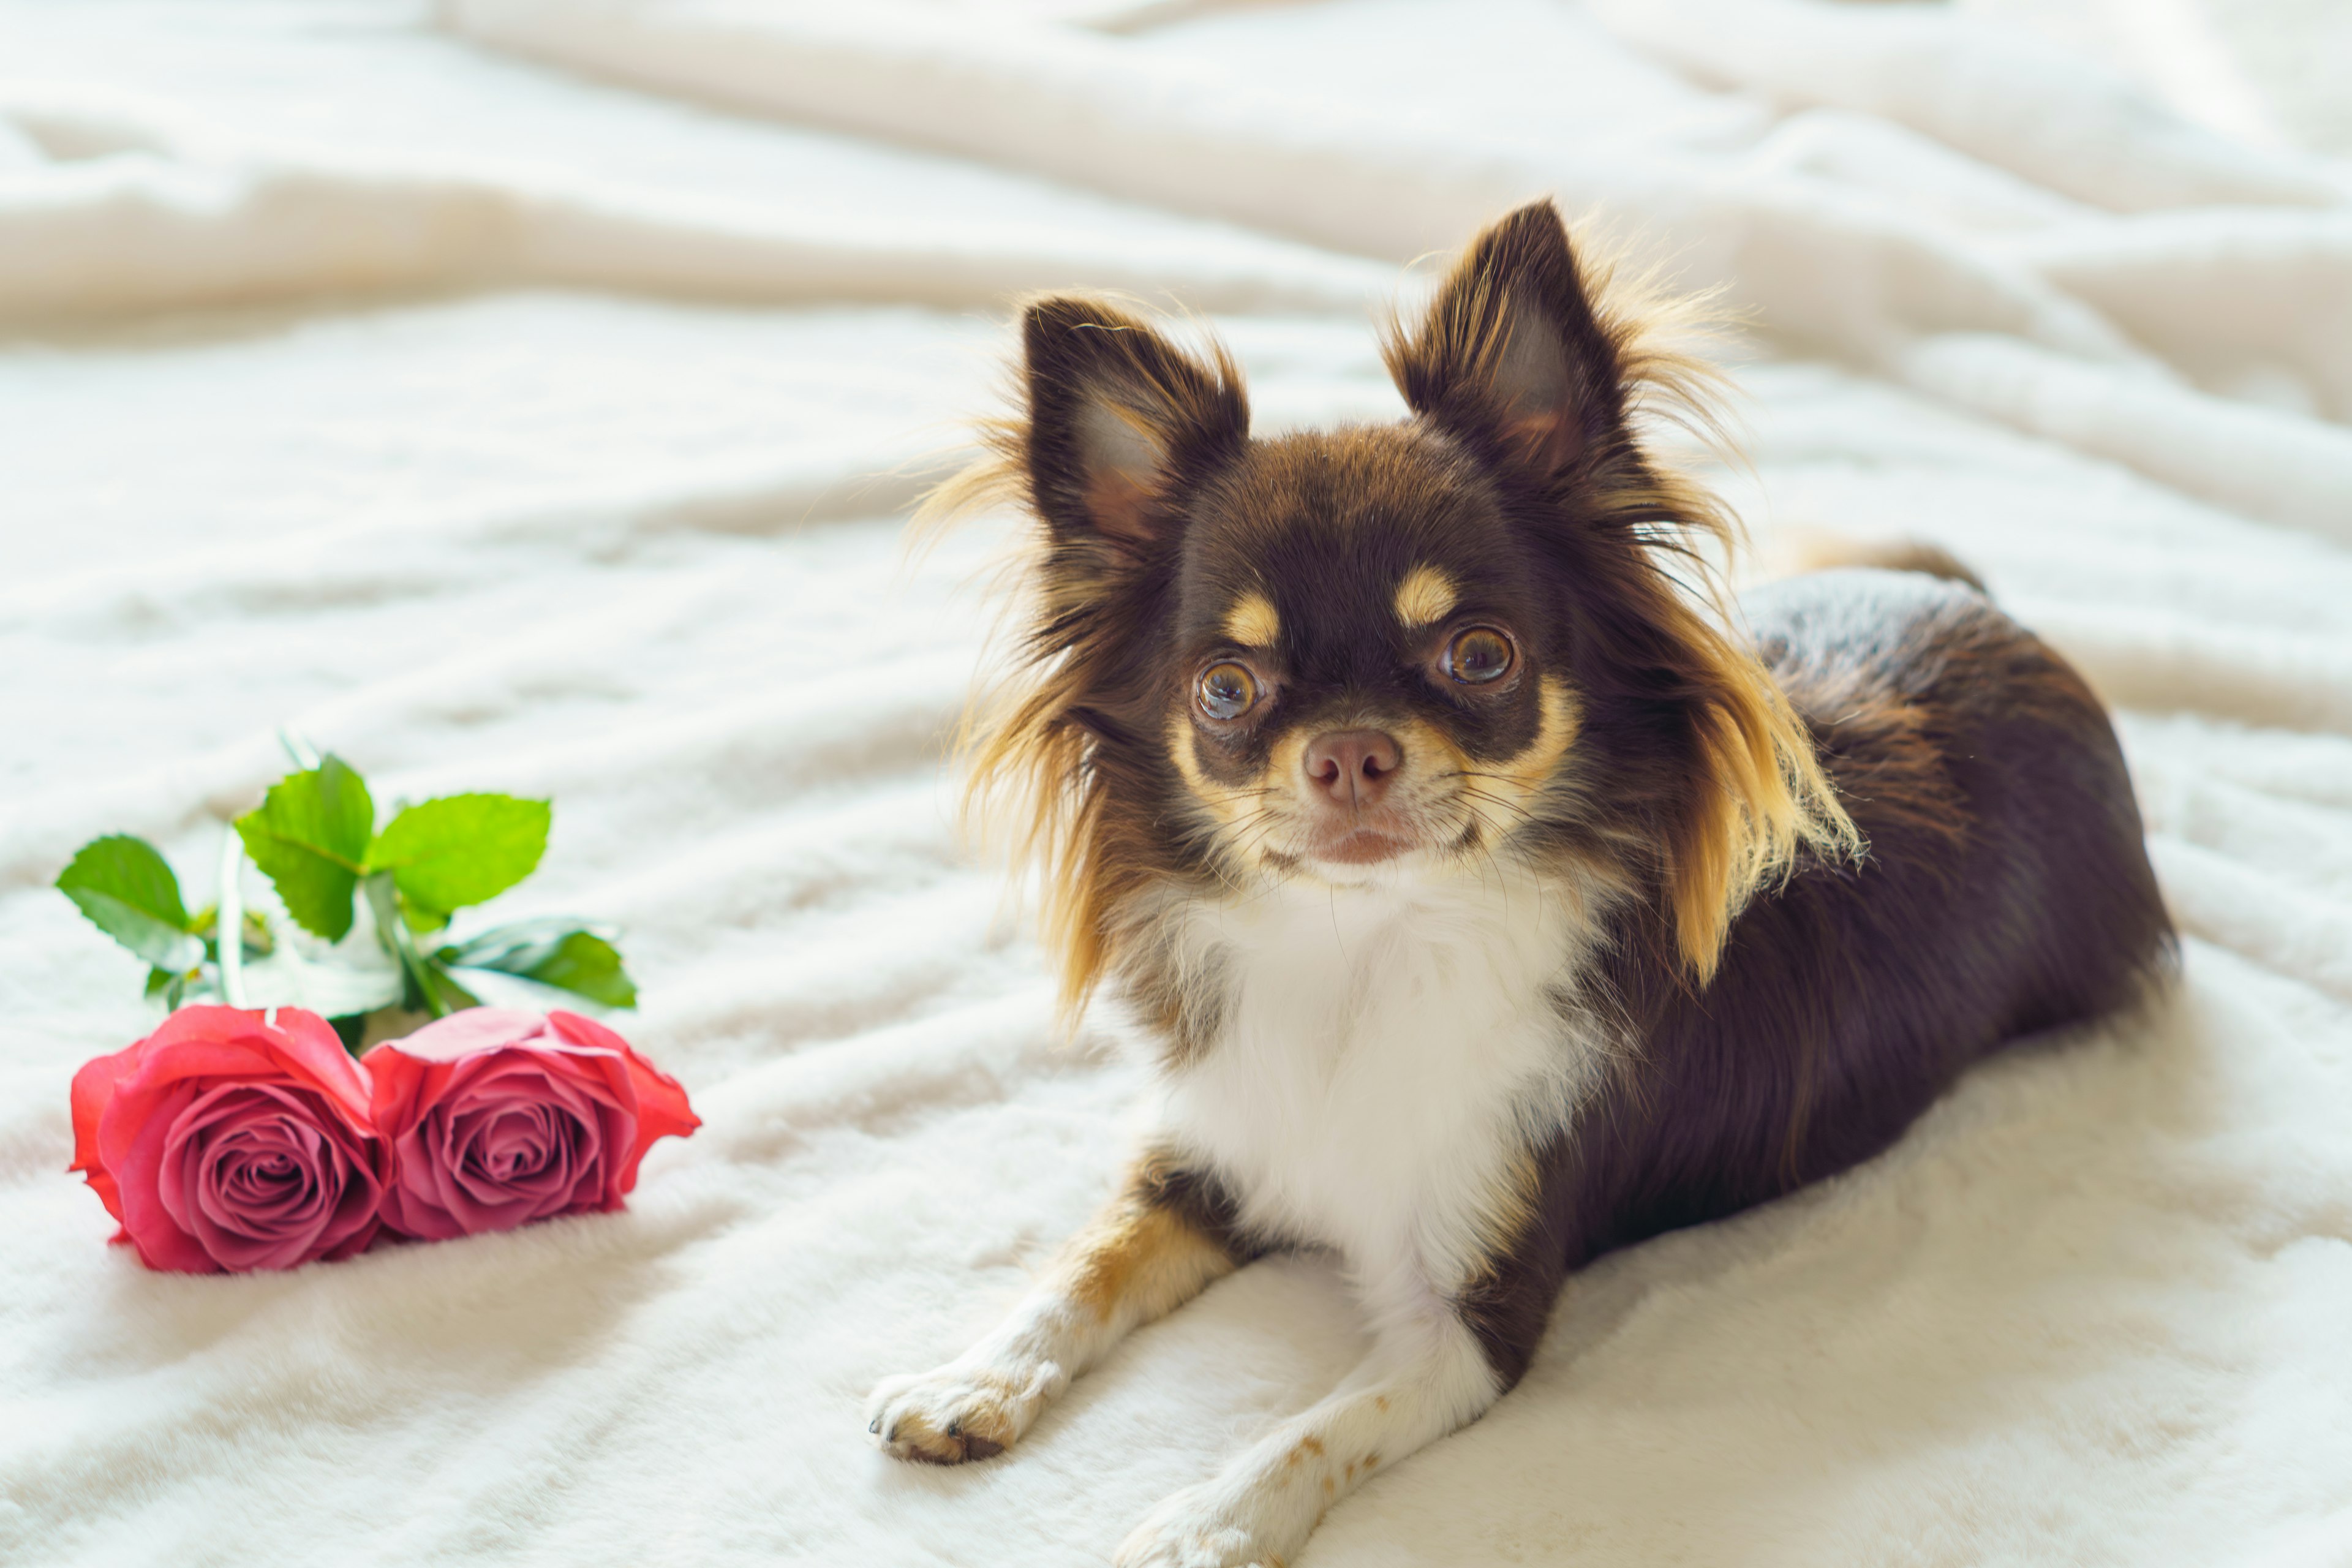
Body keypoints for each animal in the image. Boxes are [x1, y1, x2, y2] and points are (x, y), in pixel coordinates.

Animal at [865, 202, 2163, 1561]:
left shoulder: (1474, 1321)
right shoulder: (1212, 1158)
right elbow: (1084, 1266)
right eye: (1227, 688)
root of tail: (1989, 615)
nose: (1348, 750)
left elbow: (1306, 1432)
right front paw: (971, 1375)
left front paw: (1193, 1528)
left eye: (1477, 656)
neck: (1367, 948)